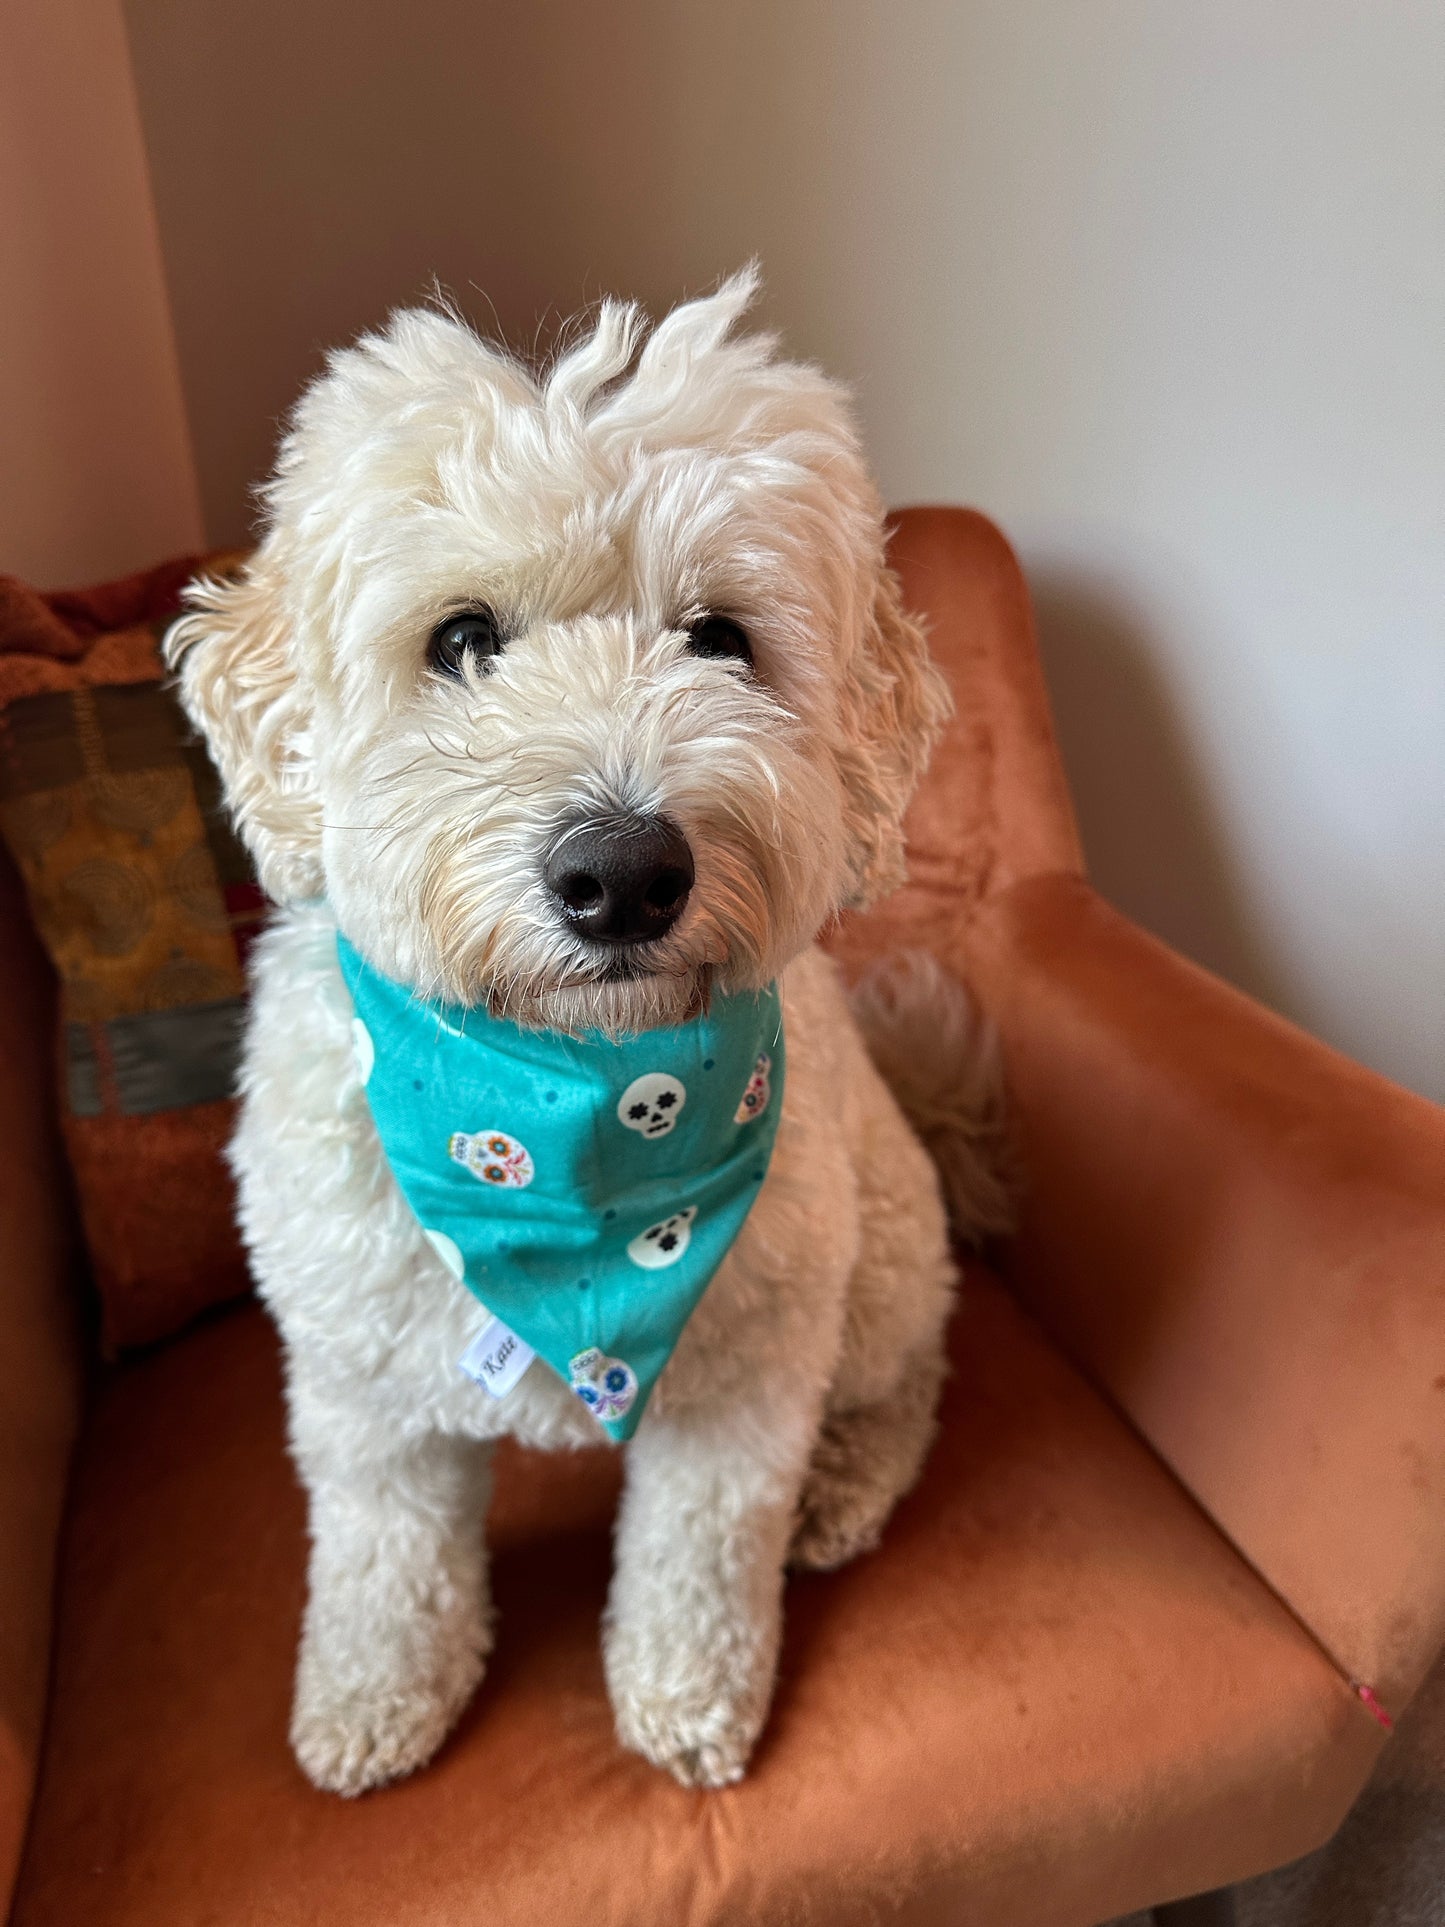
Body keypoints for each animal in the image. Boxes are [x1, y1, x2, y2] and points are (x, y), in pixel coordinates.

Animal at [166, 279, 1009, 1795]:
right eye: (459, 639)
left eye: (720, 636)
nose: (623, 874)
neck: (564, 1094)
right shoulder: (362, 1394)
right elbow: (383, 1560)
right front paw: (375, 1695)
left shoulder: (745, 1381)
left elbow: (699, 1552)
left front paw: (687, 1696)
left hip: (872, 1275)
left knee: (908, 1380)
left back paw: (844, 1488)